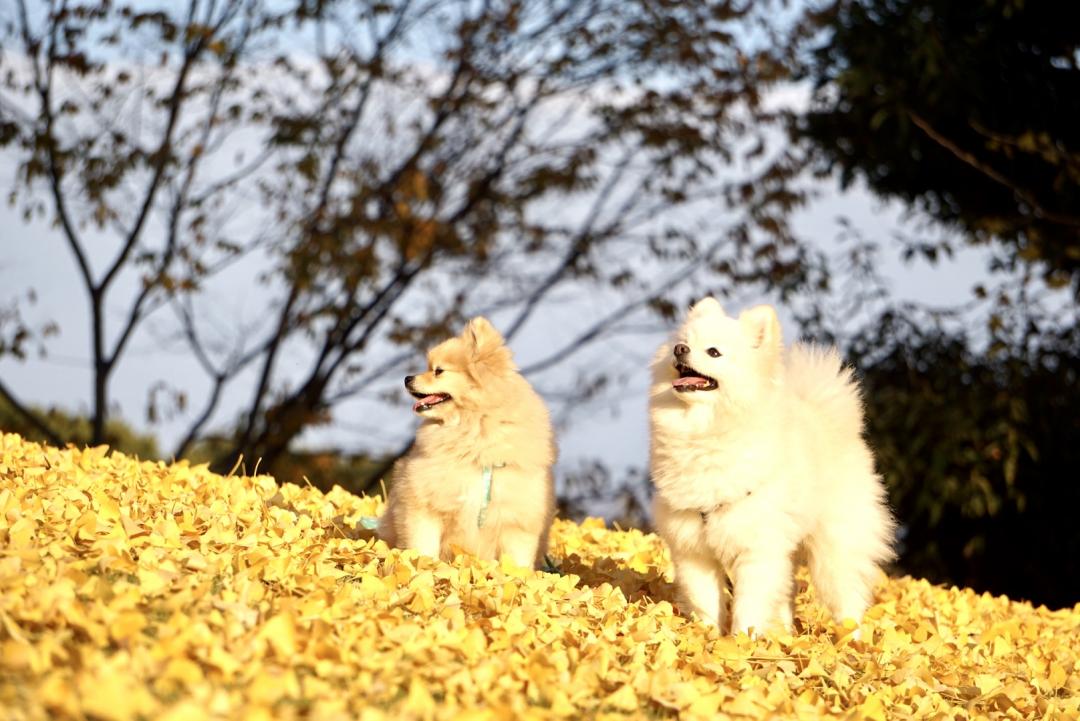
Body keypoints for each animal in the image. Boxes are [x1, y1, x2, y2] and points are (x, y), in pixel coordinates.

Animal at [648, 297, 894, 634]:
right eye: (682, 342)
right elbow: (706, 601)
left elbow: (747, 606)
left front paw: (740, 641)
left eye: (713, 352)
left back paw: (852, 638)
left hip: (834, 548)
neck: (705, 430)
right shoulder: (693, 548)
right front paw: (708, 636)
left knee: (847, 595)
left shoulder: (757, 548)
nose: (679, 349)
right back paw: (785, 634)